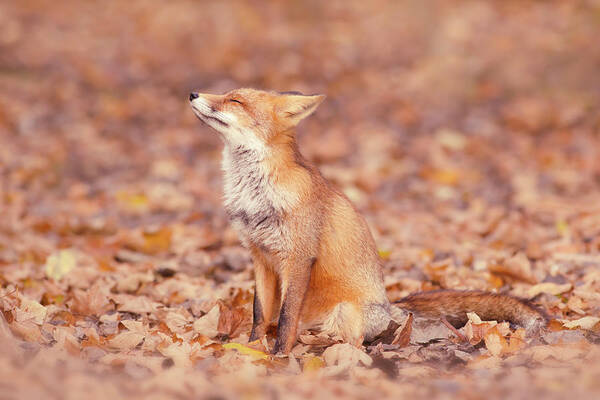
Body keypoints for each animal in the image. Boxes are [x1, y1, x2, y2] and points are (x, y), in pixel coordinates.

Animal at [189, 88, 548, 354]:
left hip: (344, 311)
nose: (193, 93)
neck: (255, 196)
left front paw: (278, 356)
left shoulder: (297, 258)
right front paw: (251, 350)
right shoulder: (260, 257)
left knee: (358, 340)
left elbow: (287, 317)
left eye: (235, 100)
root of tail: (389, 305)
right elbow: (260, 315)